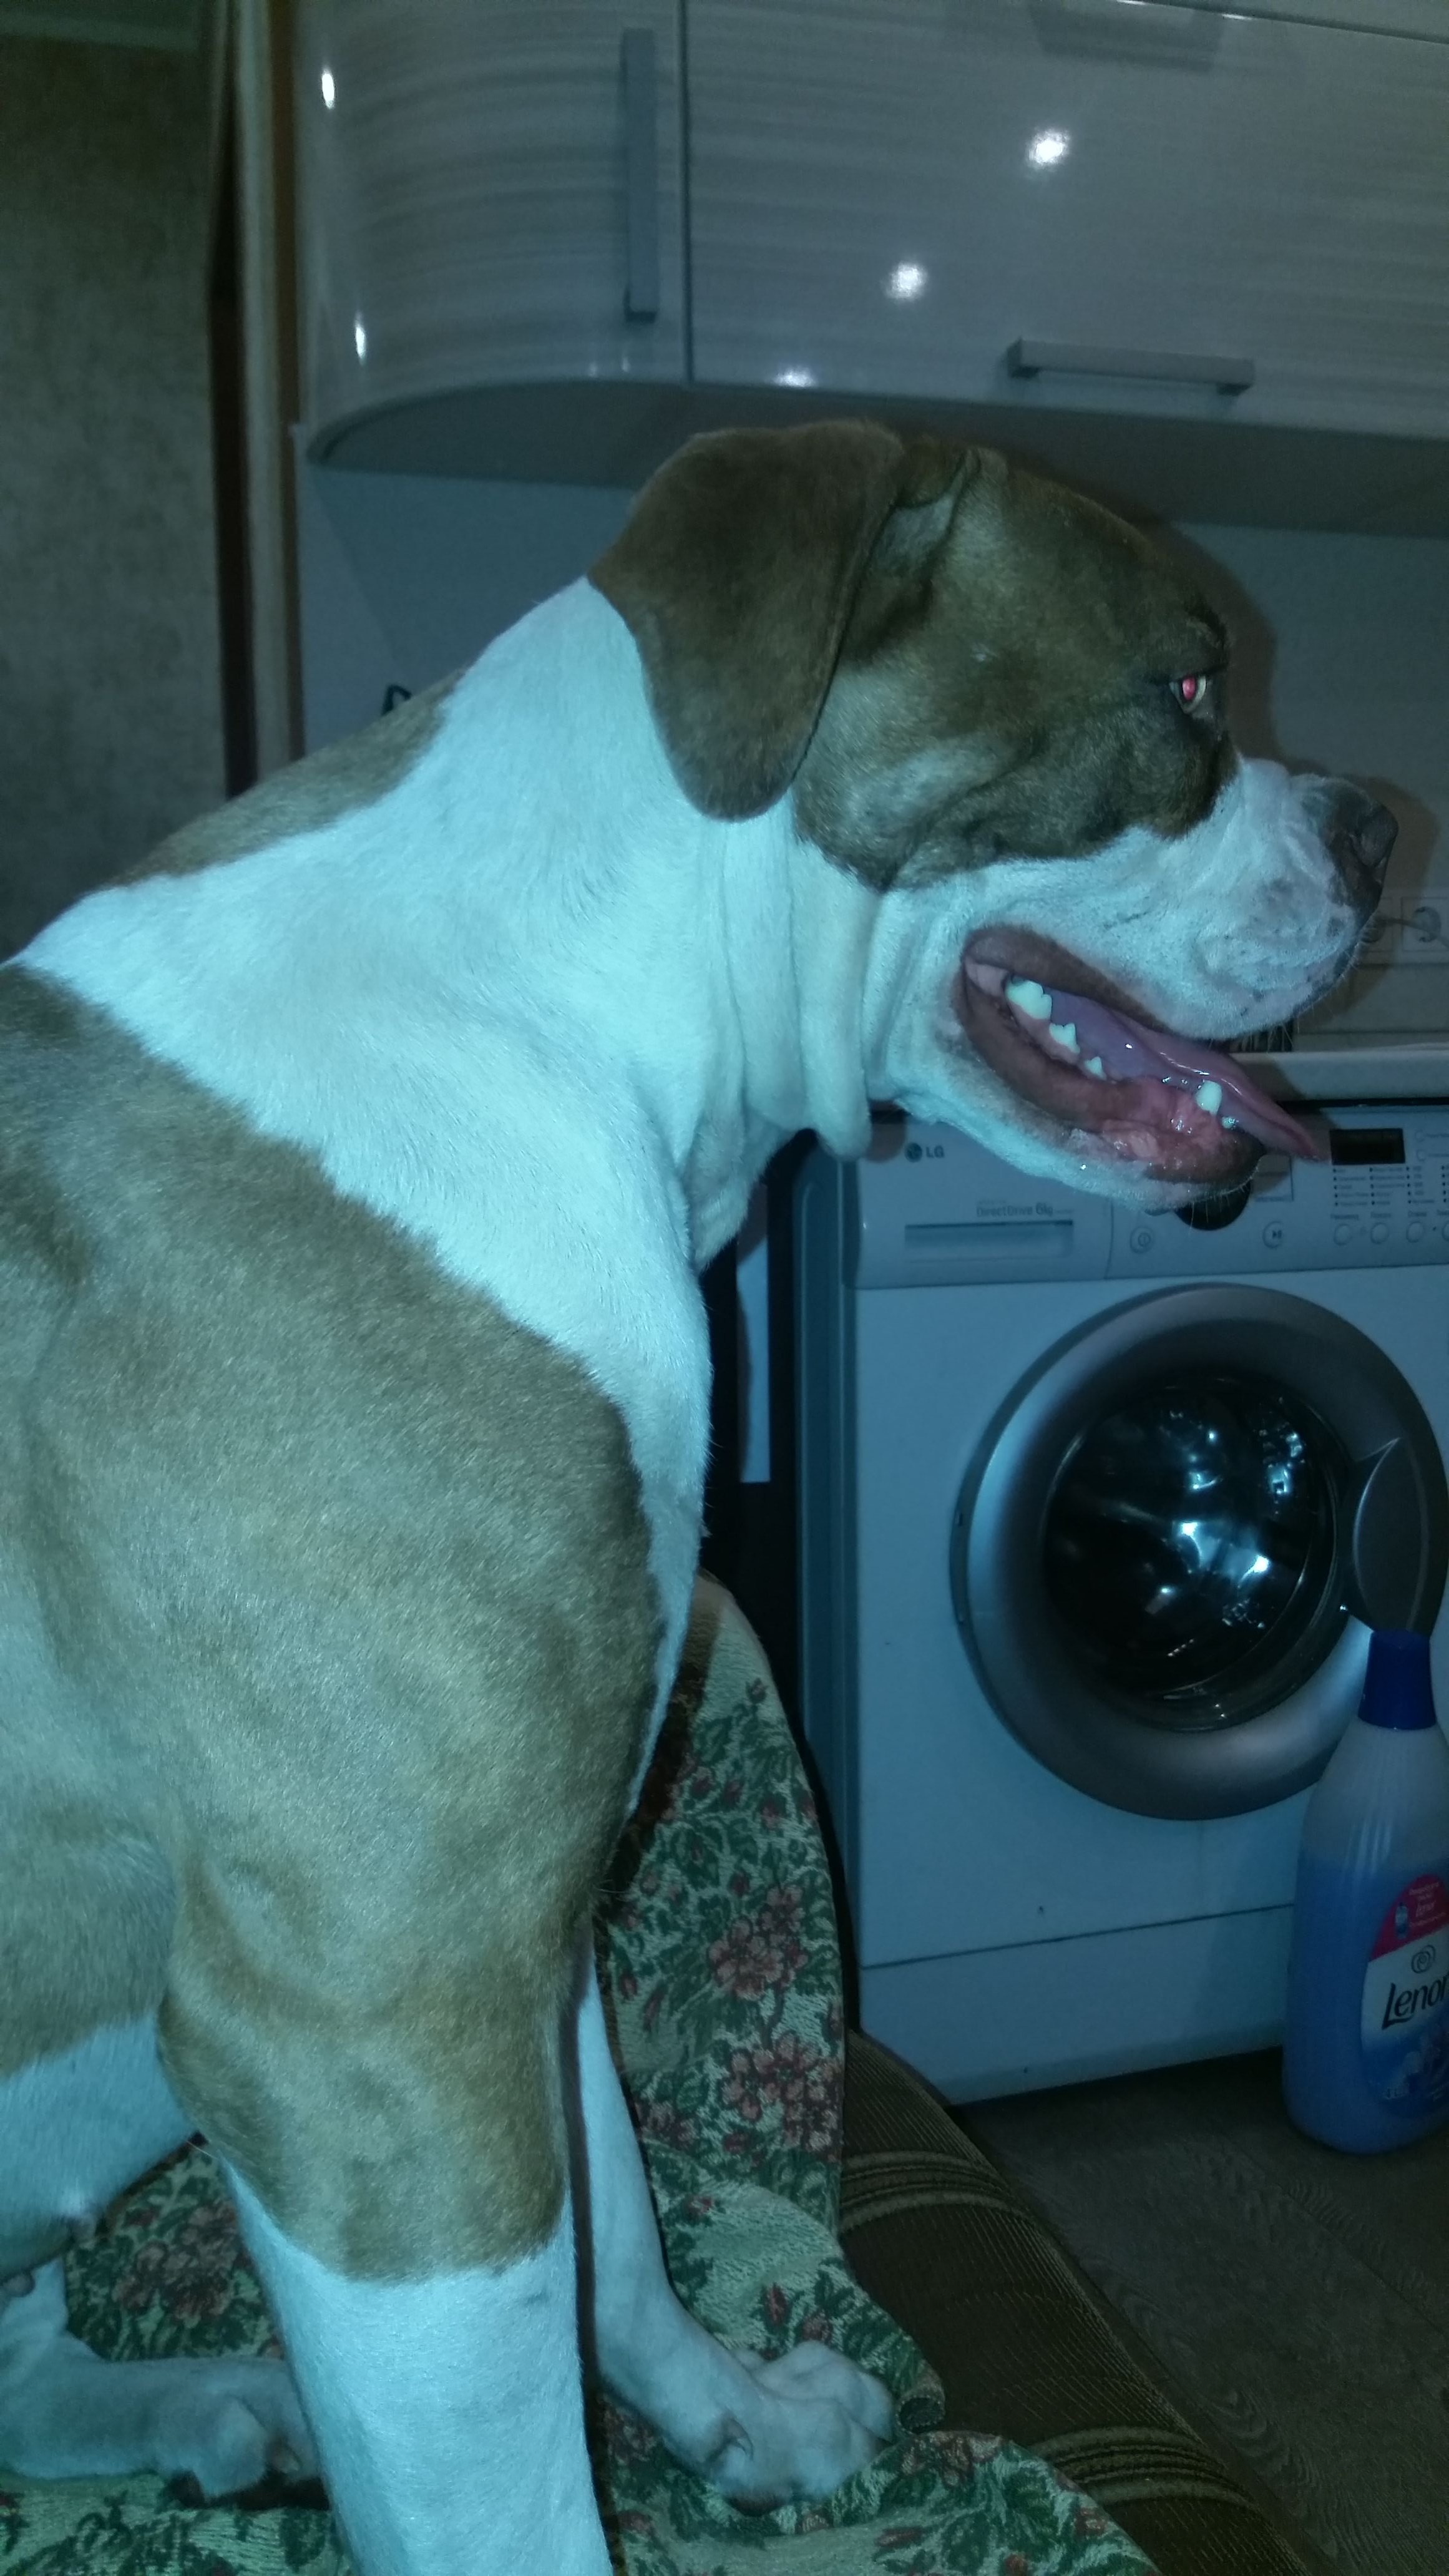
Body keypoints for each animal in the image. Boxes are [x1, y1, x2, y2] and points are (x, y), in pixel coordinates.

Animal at [0, 423, 1389, 2572]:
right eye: (1185, 682)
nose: (1389, 829)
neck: (549, 1001)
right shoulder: (374, 2027)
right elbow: (514, 2503)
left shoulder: (528, 1910)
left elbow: (625, 2233)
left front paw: (732, 2416)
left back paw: (204, 2405)